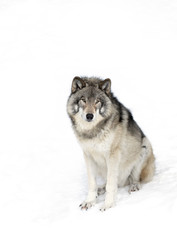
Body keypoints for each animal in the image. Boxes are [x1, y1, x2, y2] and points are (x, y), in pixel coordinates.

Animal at [66, 76, 155, 211]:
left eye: (97, 101)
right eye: (83, 100)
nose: (89, 116)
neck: (93, 132)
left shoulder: (113, 155)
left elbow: (111, 185)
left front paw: (108, 204)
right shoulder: (88, 155)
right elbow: (92, 183)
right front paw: (89, 201)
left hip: (145, 146)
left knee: (132, 179)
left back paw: (134, 186)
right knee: (113, 183)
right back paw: (100, 189)